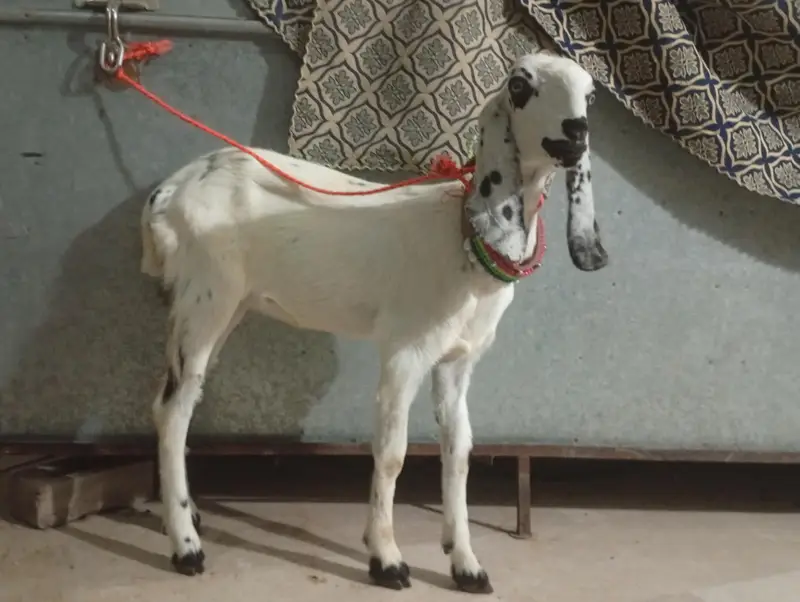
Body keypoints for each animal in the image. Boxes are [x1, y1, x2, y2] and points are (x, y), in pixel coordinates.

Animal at [140, 50, 607, 593]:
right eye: (519, 84)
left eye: (590, 91)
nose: (576, 132)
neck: (461, 240)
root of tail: (167, 193)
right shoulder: (405, 351)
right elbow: (392, 452)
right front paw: (386, 558)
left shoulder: (457, 362)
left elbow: (459, 451)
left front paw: (465, 563)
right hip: (204, 300)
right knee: (174, 409)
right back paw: (186, 547)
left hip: (225, 306)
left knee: (176, 403)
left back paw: (186, 518)